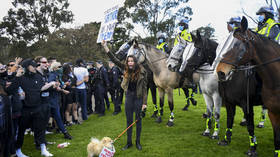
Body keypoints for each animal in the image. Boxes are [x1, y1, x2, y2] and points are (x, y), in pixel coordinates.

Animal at [217, 16, 280, 157]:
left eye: (237, 45)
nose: (220, 72)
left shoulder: (247, 104)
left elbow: (250, 126)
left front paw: (253, 148)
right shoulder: (229, 103)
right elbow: (229, 120)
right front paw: (226, 140)